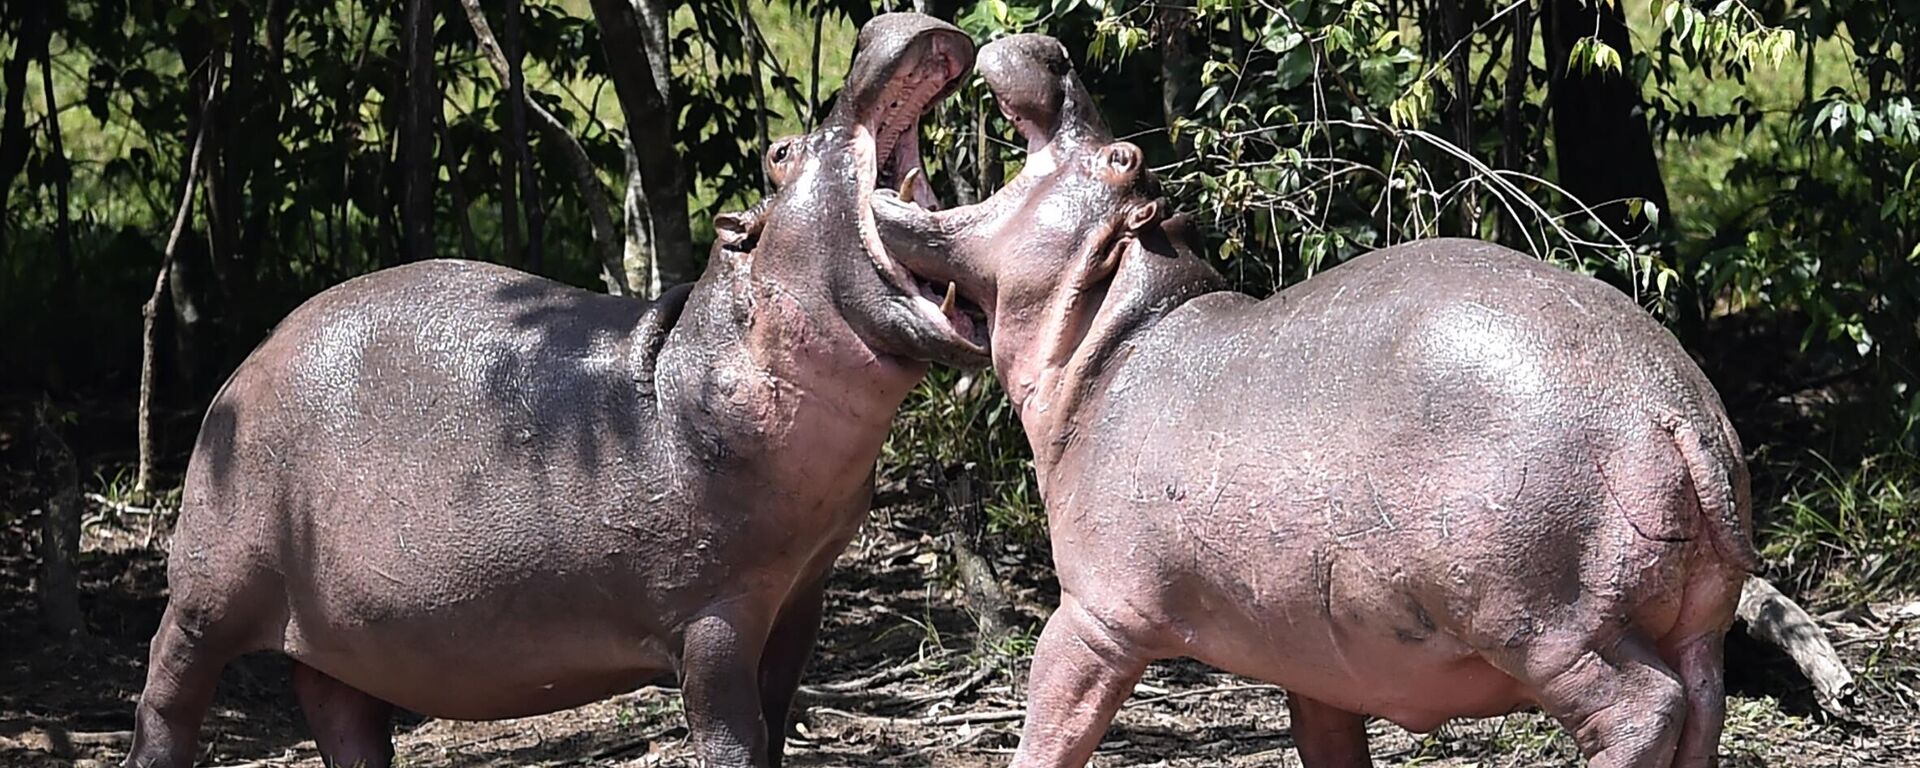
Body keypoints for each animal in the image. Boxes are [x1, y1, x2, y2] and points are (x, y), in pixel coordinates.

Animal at [125, 13, 990, 768]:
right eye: (779, 151)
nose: (880, 27)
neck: (702, 358)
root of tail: (252, 356)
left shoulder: (801, 598)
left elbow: (776, 723)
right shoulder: (713, 616)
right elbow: (733, 738)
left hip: (342, 635)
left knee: (345, 722)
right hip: (209, 591)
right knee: (166, 694)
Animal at [879, 34, 1758, 768]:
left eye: (1119, 159)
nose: (1053, 48)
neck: (1120, 331)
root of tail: (1671, 408)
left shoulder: (1094, 616)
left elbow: (1050, 730)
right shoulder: (1312, 659)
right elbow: (1327, 742)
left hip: (1542, 618)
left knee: (1640, 710)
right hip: (1692, 626)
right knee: (1699, 711)